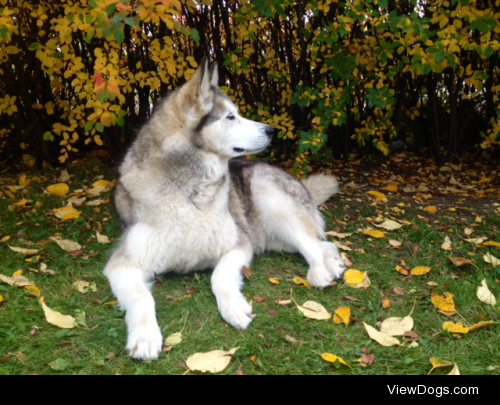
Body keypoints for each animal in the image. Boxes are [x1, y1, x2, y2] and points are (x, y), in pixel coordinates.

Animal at [104, 57, 348, 360]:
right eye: (230, 117)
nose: (271, 130)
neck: (190, 191)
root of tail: (299, 181)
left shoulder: (239, 245)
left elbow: (219, 277)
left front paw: (233, 307)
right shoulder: (122, 265)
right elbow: (141, 297)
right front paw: (145, 336)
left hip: (270, 199)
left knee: (313, 244)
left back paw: (320, 272)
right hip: (275, 239)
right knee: (322, 243)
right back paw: (333, 264)